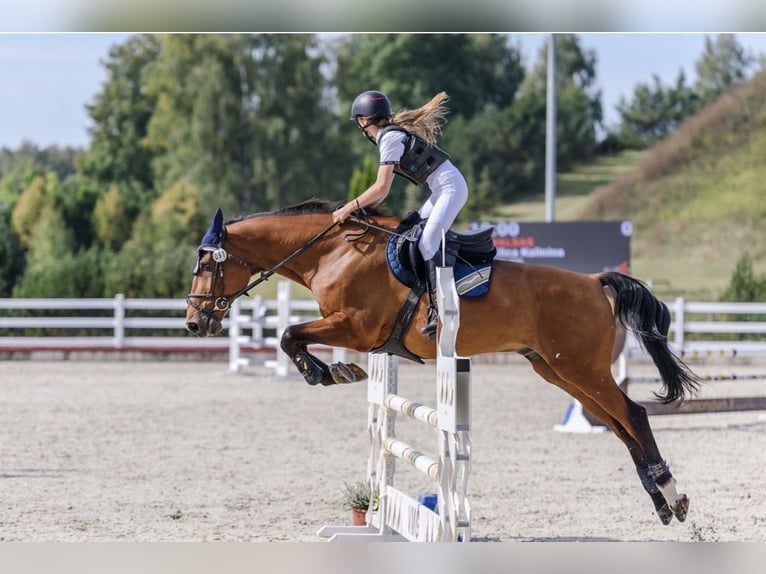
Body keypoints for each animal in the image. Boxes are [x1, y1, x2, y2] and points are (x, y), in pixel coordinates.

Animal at [186, 200, 704, 528]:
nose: (195, 322)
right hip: (557, 371)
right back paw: (663, 500)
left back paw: (671, 494)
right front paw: (335, 371)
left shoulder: (354, 328)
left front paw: (328, 372)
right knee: (619, 425)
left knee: (633, 414)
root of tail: (595, 281)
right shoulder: (355, 332)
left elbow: (289, 334)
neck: (331, 252)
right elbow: (292, 336)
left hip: (581, 369)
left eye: (207, 265)